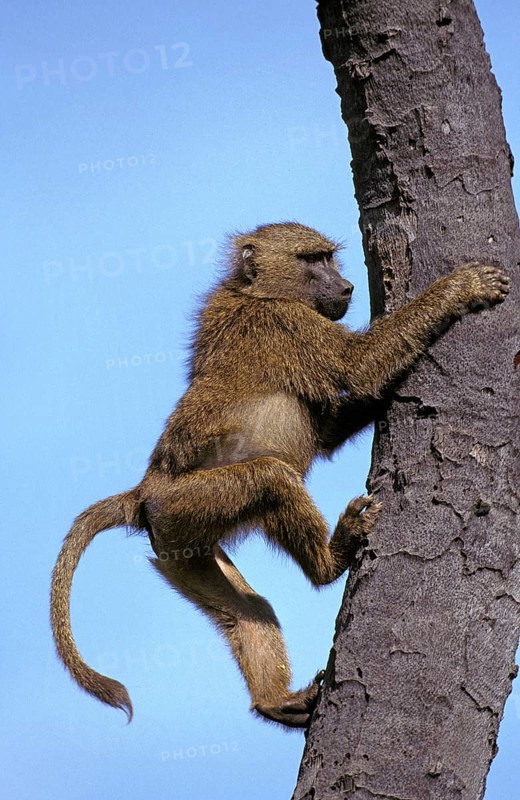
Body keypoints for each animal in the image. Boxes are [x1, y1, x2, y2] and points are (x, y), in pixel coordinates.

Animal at [50, 221, 510, 728]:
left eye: (330, 258)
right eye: (312, 260)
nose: (346, 287)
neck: (256, 291)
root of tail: (144, 490)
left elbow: (328, 427)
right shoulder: (287, 322)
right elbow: (360, 364)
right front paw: (463, 287)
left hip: (177, 547)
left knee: (248, 609)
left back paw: (275, 701)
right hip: (185, 503)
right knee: (272, 476)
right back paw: (331, 560)